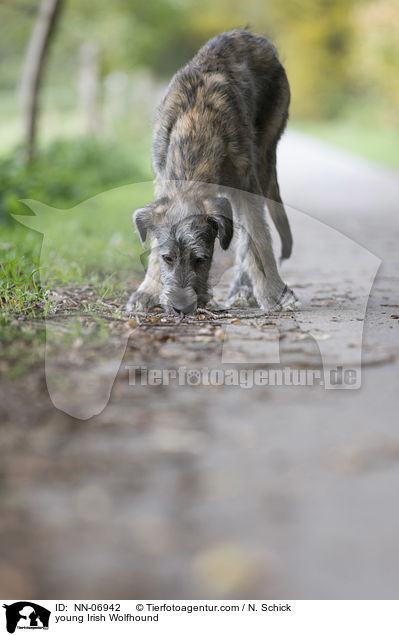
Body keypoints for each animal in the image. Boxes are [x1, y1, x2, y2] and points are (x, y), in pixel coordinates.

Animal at [126, 28, 298, 316]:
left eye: (201, 259)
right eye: (168, 258)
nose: (181, 308)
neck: (195, 128)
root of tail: (252, 36)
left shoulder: (247, 186)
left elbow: (258, 240)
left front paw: (274, 294)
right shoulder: (162, 180)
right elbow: (154, 244)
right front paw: (147, 290)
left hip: (265, 155)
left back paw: (242, 289)